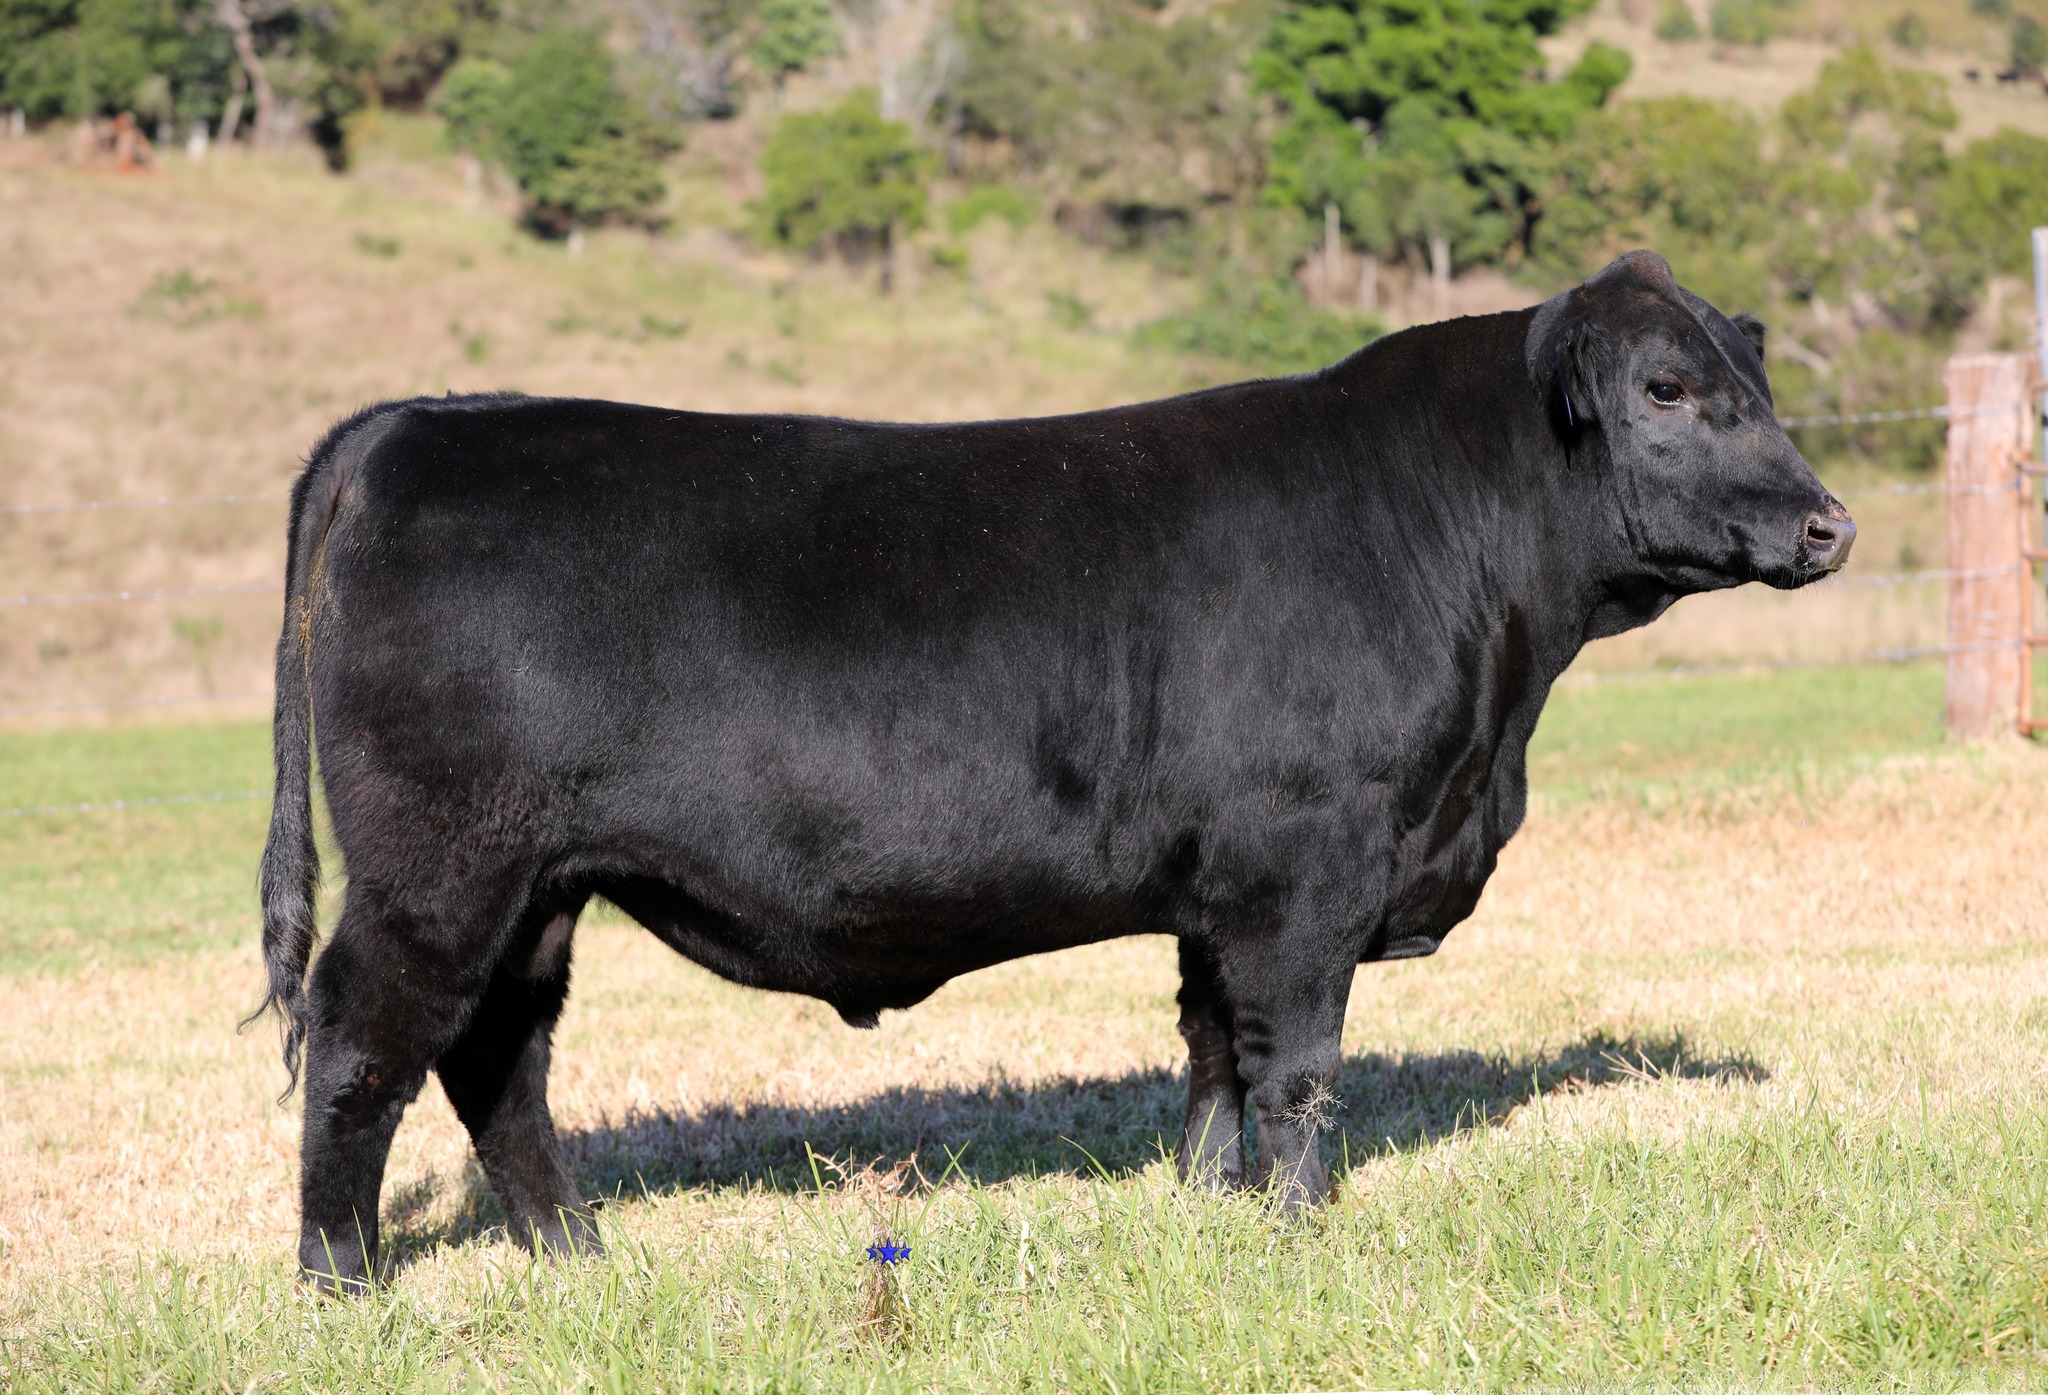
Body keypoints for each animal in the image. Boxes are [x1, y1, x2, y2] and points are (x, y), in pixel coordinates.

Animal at [253, 250, 1854, 1291]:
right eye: (1666, 388)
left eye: (1754, 381)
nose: (1828, 524)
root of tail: (424, 420)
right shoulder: (1308, 869)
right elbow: (1299, 1069)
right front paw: (1298, 1238)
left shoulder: (1222, 885)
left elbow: (1211, 1054)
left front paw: (1207, 1214)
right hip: (439, 868)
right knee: (364, 1037)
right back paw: (342, 1279)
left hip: (537, 885)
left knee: (496, 1053)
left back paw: (576, 1255)